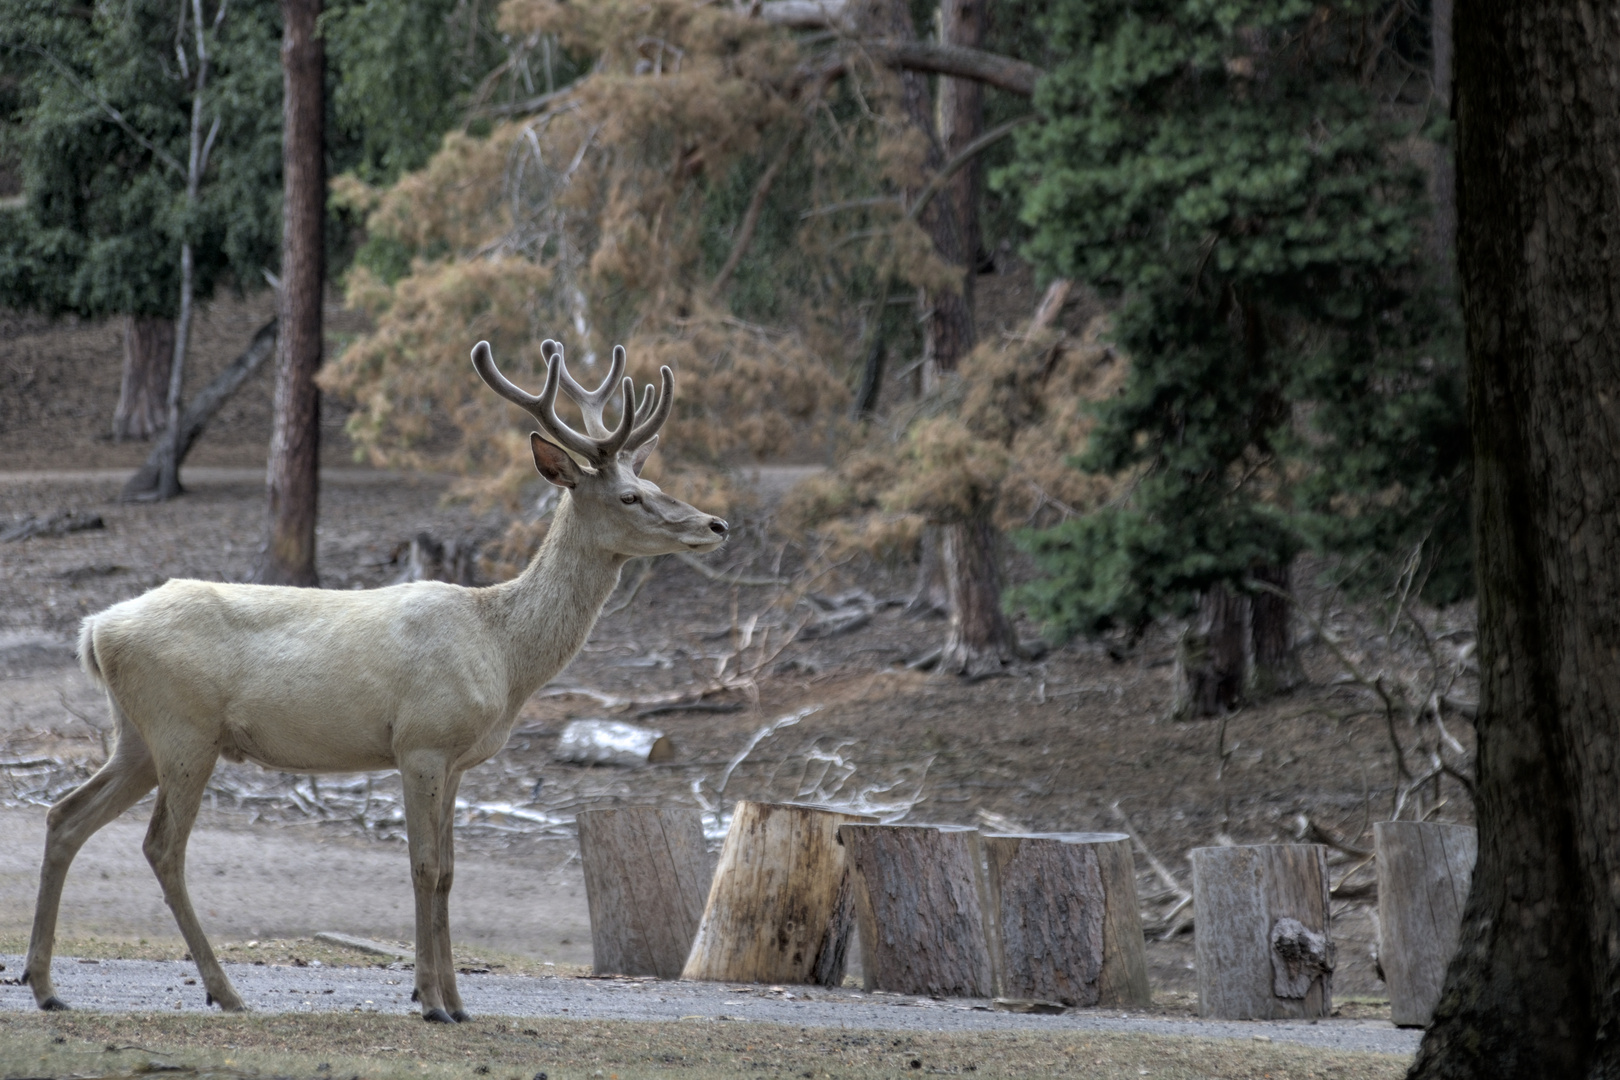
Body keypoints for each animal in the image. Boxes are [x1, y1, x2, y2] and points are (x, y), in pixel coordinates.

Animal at [20, 340, 722, 1023]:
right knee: (162, 846)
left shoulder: (459, 759)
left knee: (64, 816)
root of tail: (95, 630)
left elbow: (450, 872)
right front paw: (431, 1002)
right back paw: (224, 991)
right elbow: (424, 866)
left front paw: (459, 1004)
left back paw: (46, 985)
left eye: (652, 479)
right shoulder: (421, 741)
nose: (716, 525)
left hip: (138, 736)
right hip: (184, 729)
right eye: (629, 496)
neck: (503, 653)